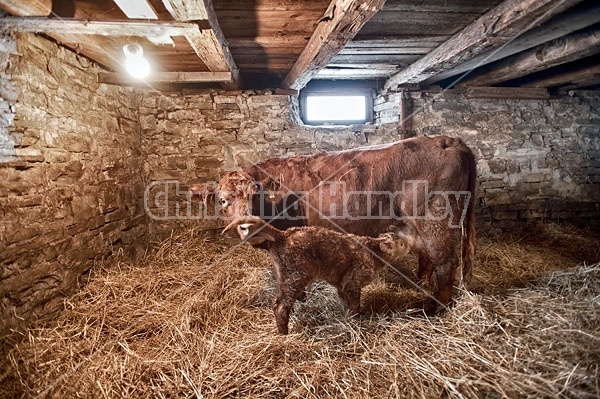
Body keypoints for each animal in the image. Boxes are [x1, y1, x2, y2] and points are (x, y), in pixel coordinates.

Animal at [190, 136, 476, 314]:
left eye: (254, 196)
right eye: (223, 200)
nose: (248, 227)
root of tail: (448, 141)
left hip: (435, 220)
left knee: (445, 263)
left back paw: (436, 308)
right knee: (428, 258)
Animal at [223, 217, 414, 336]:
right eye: (401, 244)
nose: (410, 244)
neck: (374, 252)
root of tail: (283, 235)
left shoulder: (342, 284)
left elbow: (345, 302)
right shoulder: (352, 282)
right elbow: (354, 306)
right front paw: (356, 321)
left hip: (283, 276)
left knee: (276, 302)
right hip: (296, 275)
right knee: (281, 307)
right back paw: (284, 334)